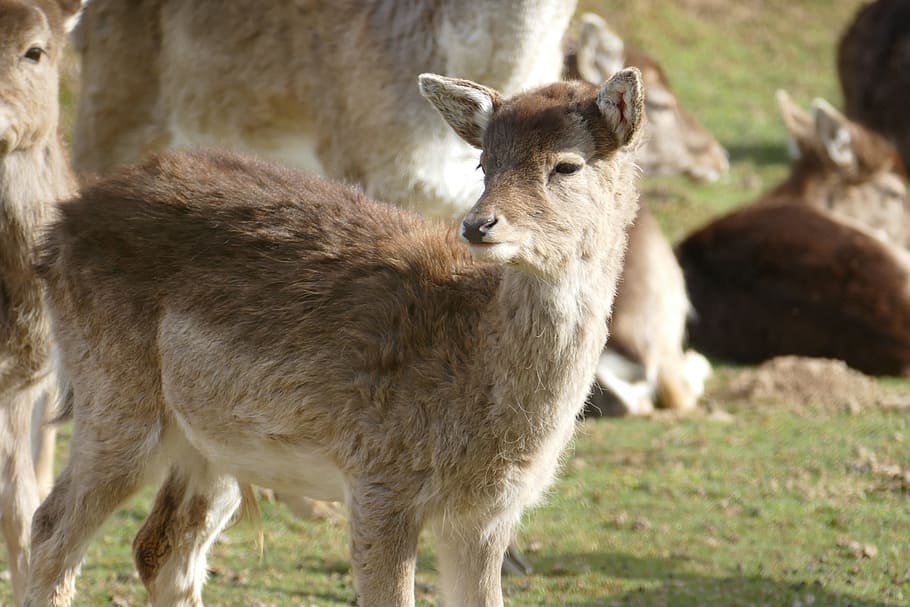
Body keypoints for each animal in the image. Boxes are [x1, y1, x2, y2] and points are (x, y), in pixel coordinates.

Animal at [24, 69, 645, 607]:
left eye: (567, 165)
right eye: (484, 163)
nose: (478, 225)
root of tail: (56, 230)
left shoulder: (488, 516)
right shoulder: (379, 480)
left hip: (213, 443)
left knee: (162, 548)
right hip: (115, 398)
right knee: (50, 529)